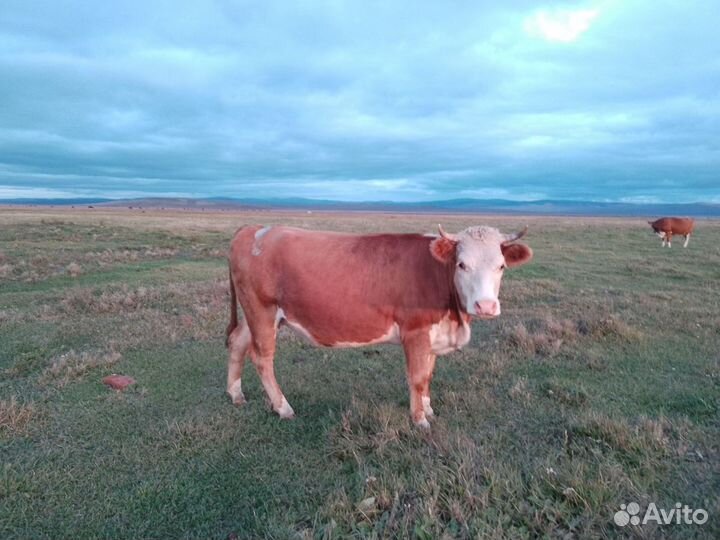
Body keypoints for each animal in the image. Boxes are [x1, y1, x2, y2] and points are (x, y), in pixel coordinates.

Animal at [225, 224, 533, 428]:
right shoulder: (415, 331)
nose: (485, 306)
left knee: (238, 342)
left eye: (501, 266)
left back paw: (236, 394)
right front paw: (419, 420)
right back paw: (283, 407)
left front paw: (429, 409)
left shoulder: (433, 334)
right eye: (462, 264)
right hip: (262, 310)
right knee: (262, 358)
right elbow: (417, 377)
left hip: (256, 314)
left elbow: (428, 376)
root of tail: (255, 229)